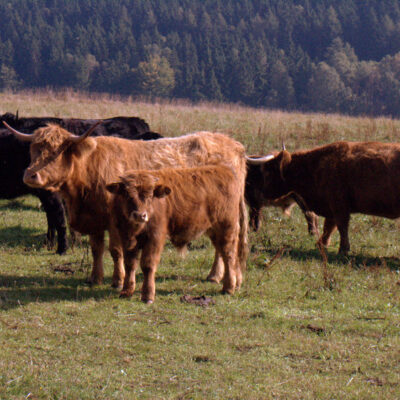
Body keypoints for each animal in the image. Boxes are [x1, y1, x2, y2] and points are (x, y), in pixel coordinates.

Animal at [106, 166, 242, 304]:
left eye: (150, 195)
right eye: (127, 195)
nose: (140, 215)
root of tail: (224, 169)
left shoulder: (155, 238)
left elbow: (148, 265)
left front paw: (148, 295)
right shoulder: (125, 238)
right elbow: (129, 263)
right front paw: (126, 291)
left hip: (226, 228)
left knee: (228, 255)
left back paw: (228, 287)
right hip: (215, 232)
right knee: (225, 253)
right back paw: (234, 283)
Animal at [247, 141, 400, 253]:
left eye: (268, 172)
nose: (263, 192)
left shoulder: (339, 205)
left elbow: (341, 226)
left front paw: (343, 249)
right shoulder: (332, 207)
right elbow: (329, 226)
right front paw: (322, 244)